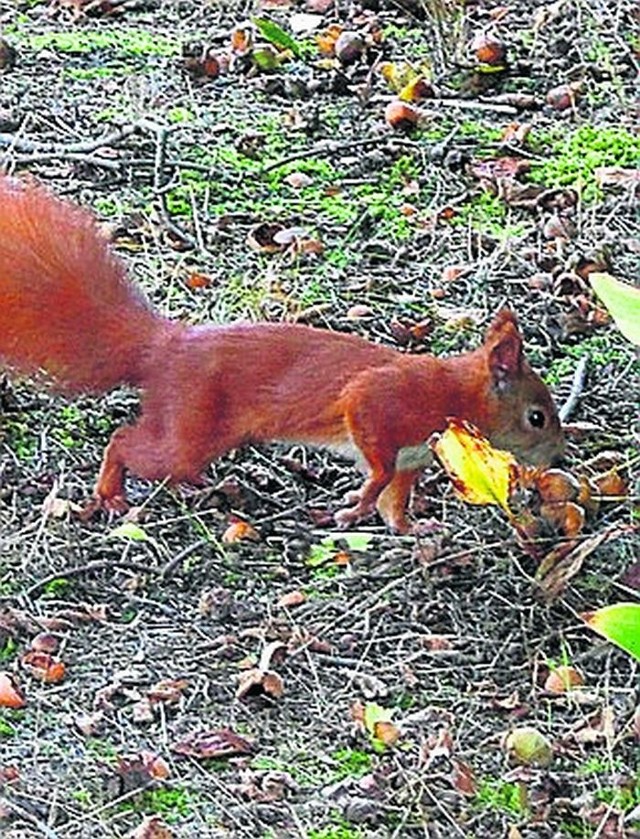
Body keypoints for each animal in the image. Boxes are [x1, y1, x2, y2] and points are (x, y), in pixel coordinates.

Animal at [0, 176, 564, 532]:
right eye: (536, 416)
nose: (559, 457)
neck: (453, 392)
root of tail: (166, 347)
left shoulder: (412, 458)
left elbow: (395, 500)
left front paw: (411, 529)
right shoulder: (377, 403)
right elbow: (376, 466)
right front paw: (353, 508)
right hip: (192, 425)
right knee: (127, 442)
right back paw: (112, 492)